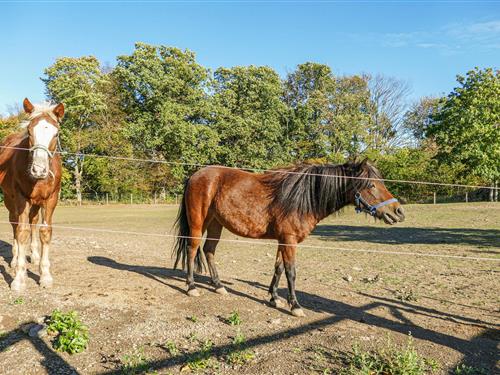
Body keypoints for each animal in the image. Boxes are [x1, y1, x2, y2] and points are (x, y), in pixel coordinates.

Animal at [0, 98, 64, 292]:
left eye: (56, 133)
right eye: (29, 132)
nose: (38, 170)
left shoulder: (51, 199)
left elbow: (45, 231)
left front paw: (45, 276)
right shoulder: (21, 198)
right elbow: (22, 231)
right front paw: (19, 279)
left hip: (36, 202)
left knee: (34, 221)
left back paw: (34, 256)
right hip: (10, 200)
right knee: (15, 224)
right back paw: (14, 259)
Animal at [174, 159, 404, 318]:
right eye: (371, 185)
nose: (398, 211)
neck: (302, 198)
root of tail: (195, 175)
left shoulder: (282, 240)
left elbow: (278, 268)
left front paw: (275, 298)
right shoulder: (289, 239)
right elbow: (291, 272)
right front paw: (295, 306)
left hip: (215, 223)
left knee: (209, 251)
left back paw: (219, 286)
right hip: (198, 223)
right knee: (192, 249)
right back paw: (191, 287)